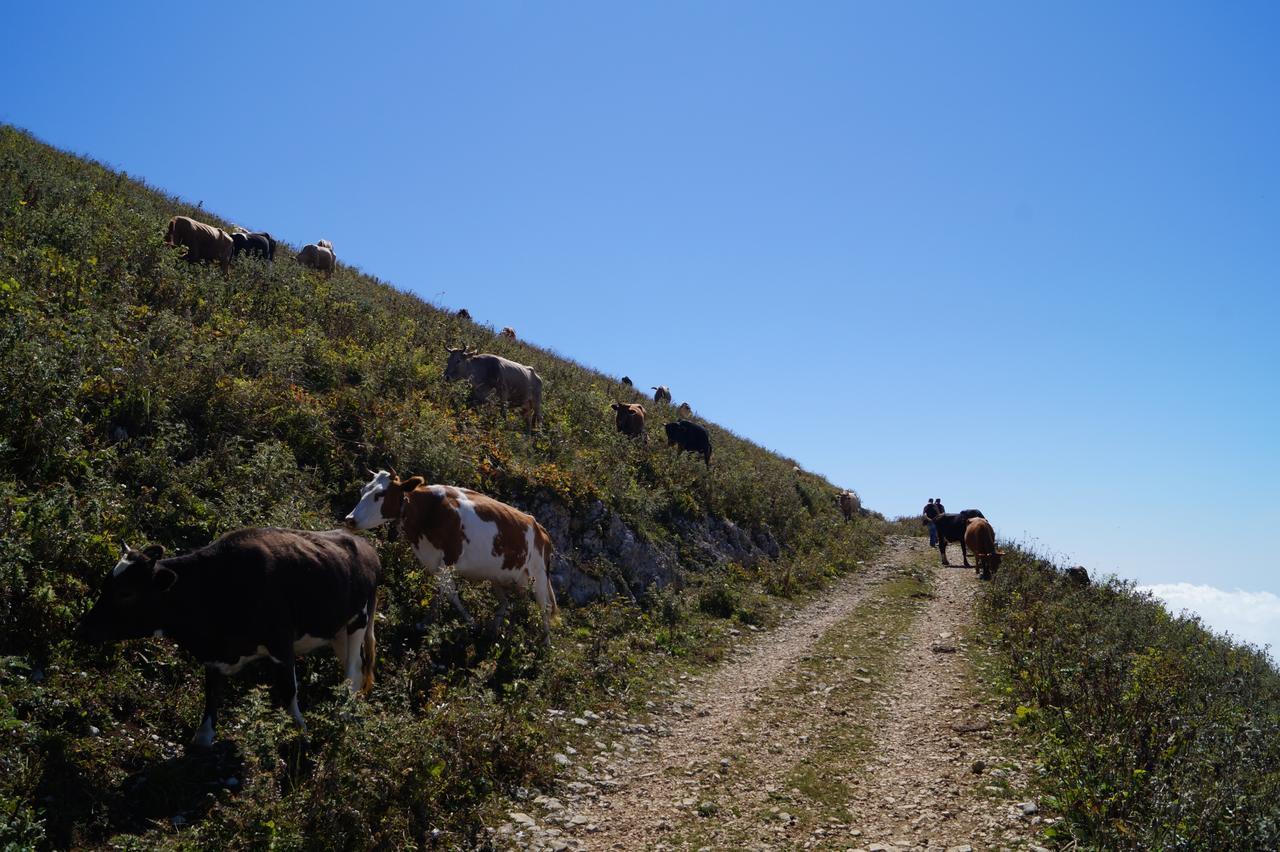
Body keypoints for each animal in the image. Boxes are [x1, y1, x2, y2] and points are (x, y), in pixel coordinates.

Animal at [76, 527, 376, 747]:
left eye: (125, 593)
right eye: (105, 584)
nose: (83, 629)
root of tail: (365, 544)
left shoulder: (281, 643)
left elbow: (288, 691)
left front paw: (300, 732)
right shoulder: (214, 655)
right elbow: (212, 693)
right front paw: (204, 736)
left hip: (358, 622)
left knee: (351, 674)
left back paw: (343, 714)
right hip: (336, 632)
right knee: (357, 670)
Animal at [343, 468, 558, 639]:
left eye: (380, 494)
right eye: (363, 490)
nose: (350, 519)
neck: (429, 512)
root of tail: (539, 527)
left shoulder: (449, 559)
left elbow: (445, 593)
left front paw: (427, 623)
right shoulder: (433, 560)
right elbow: (449, 593)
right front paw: (471, 623)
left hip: (539, 577)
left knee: (544, 608)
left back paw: (545, 642)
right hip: (502, 576)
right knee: (509, 603)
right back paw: (496, 632)